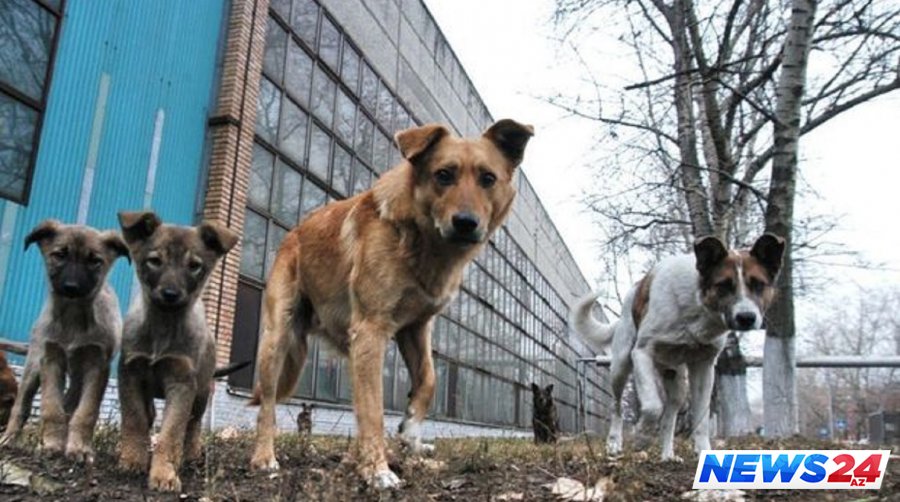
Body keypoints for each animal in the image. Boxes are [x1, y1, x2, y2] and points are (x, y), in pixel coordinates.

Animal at [0, 221, 128, 462]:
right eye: (59, 255)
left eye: (95, 261)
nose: (71, 287)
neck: (73, 318)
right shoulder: (50, 359)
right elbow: (51, 407)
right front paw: (52, 444)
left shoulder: (97, 366)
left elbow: (86, 411)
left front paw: (79, 448)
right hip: (33, 365)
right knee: (22, 405)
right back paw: (9, 438)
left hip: (78, 376)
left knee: (71, 402)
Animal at [116, 211, 238, 492]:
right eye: (154, 261)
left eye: (194, 265)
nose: (170, 294)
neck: (163, 325)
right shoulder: (130, 373)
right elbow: (135, 419)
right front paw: (132, 459)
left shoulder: (182, 383)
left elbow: (171, 433)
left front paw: (164, 474)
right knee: (149, 414)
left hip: (202, 392)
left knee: (193, 426)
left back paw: (190, 455)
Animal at [249, 119, 533, 488]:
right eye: (443, 175)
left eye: (488, 178)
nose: (466, 223)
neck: (421, 240)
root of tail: (292, 233)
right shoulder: (371, 330)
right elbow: (373, 409)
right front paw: (377, 470)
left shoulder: (415, 328)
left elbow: (428, 379)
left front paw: (411, 431)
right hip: (277, 339)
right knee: (267, 404)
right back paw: (264, 458)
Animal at [571, 234, 784, 461]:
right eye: (724, 285)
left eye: (758, 284)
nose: (746, 318)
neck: (697, 306)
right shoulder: (642, 353)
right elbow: (653, 406)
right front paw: (641, 437)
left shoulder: (704, 367)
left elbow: (700, 419)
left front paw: (703, 451)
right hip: (620, 367)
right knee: (617, 407)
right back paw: (614, 443)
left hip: (676, 381)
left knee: (669, 417)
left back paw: (667, 456)